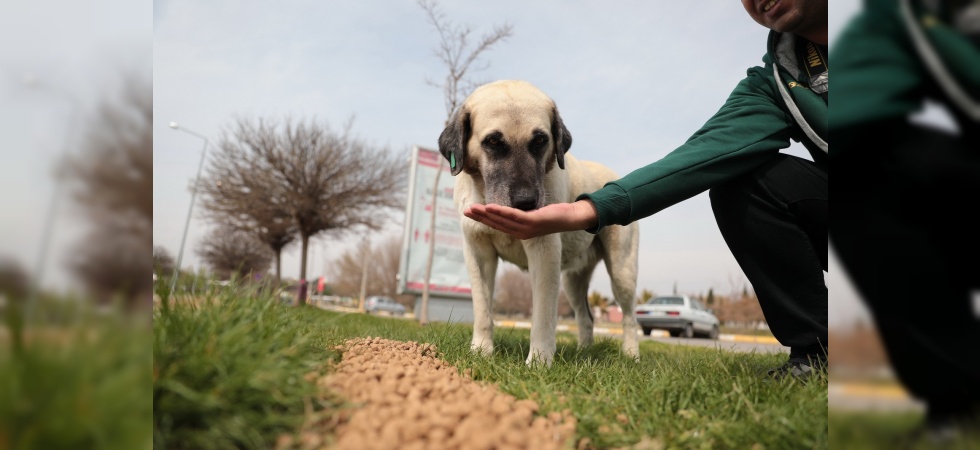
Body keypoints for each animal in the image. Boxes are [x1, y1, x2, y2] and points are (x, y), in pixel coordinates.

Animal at [438, 78, 644, 366]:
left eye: (540, 141)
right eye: (493, 141)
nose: (526, 202)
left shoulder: (544, 252)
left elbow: (543, 316)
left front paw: (539, 361)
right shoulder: (478, 252)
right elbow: (482, 311)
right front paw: (481, 351)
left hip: (622, 271)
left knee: (629, 317)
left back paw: (631, 354)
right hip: (573, 281)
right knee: (586, 317)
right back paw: (585, 351)